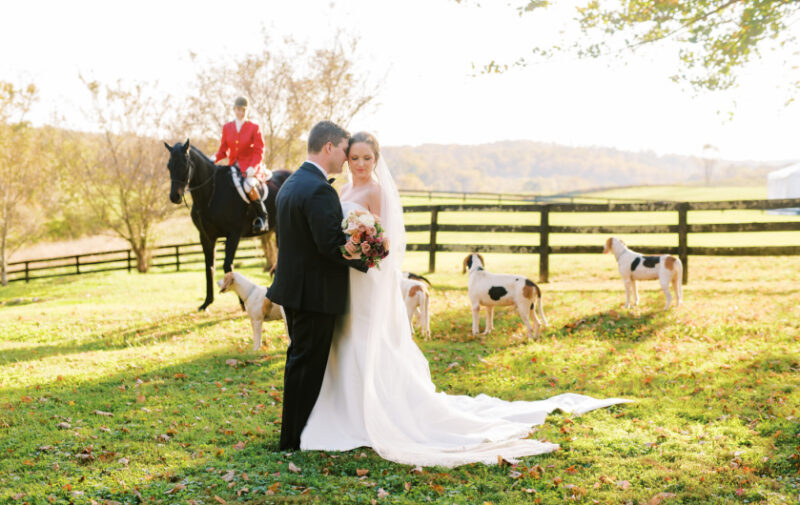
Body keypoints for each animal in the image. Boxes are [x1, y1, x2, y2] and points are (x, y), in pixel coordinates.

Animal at [163, 139, 290, 312]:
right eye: (169, 165)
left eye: (184, 164)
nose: (174, 196)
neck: (210, 194)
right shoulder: (206, 237)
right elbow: (209, 268)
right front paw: (207, 302)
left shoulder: (234, 235)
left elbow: (227, 266)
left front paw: (242, 302)